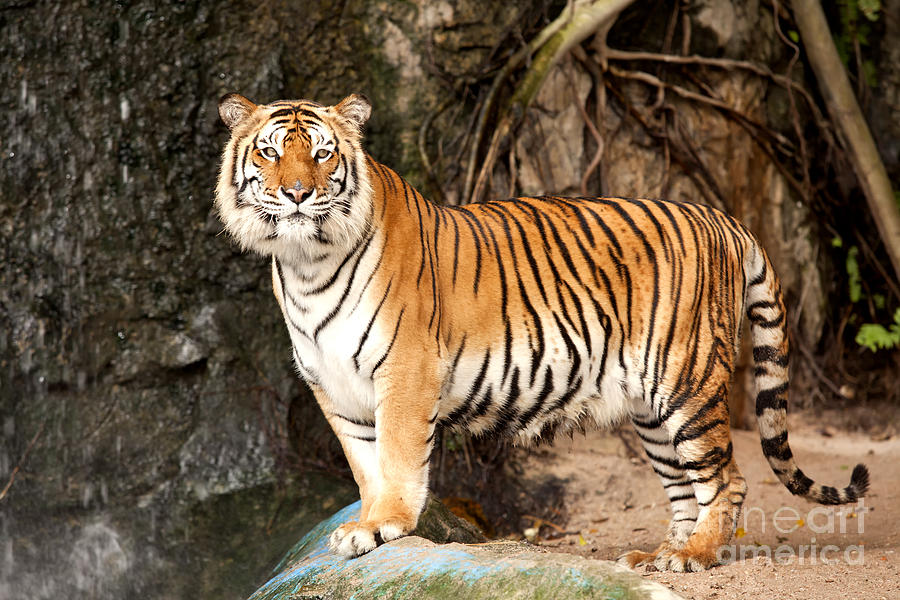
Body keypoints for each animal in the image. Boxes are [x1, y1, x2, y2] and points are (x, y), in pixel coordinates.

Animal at [214, 92, 868, 572]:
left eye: (323, 155)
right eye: (270, 153)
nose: (298, 194)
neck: (305, 262)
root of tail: (724, 218)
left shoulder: (404, 369)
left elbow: (397, 455)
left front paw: (386, 524)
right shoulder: (332, 384)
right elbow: (364, 463)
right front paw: (366, 524)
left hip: (687, 380)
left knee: (726, 480)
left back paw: (697, 557)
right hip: (651, 410)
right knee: (685, 487)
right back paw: (662, 555)